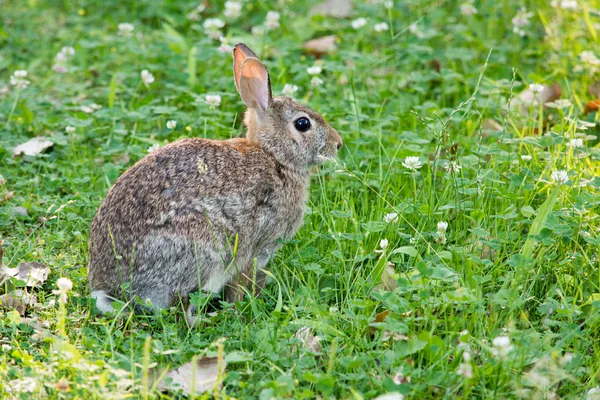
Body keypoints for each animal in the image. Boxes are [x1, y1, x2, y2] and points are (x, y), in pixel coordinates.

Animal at [88, 43, 342, 316]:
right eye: (303, 124)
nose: (338, 143)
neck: (274, 157)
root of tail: (109, 288)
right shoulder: (256, 249)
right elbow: (243, 283)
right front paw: (244, 304)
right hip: (205, 247)